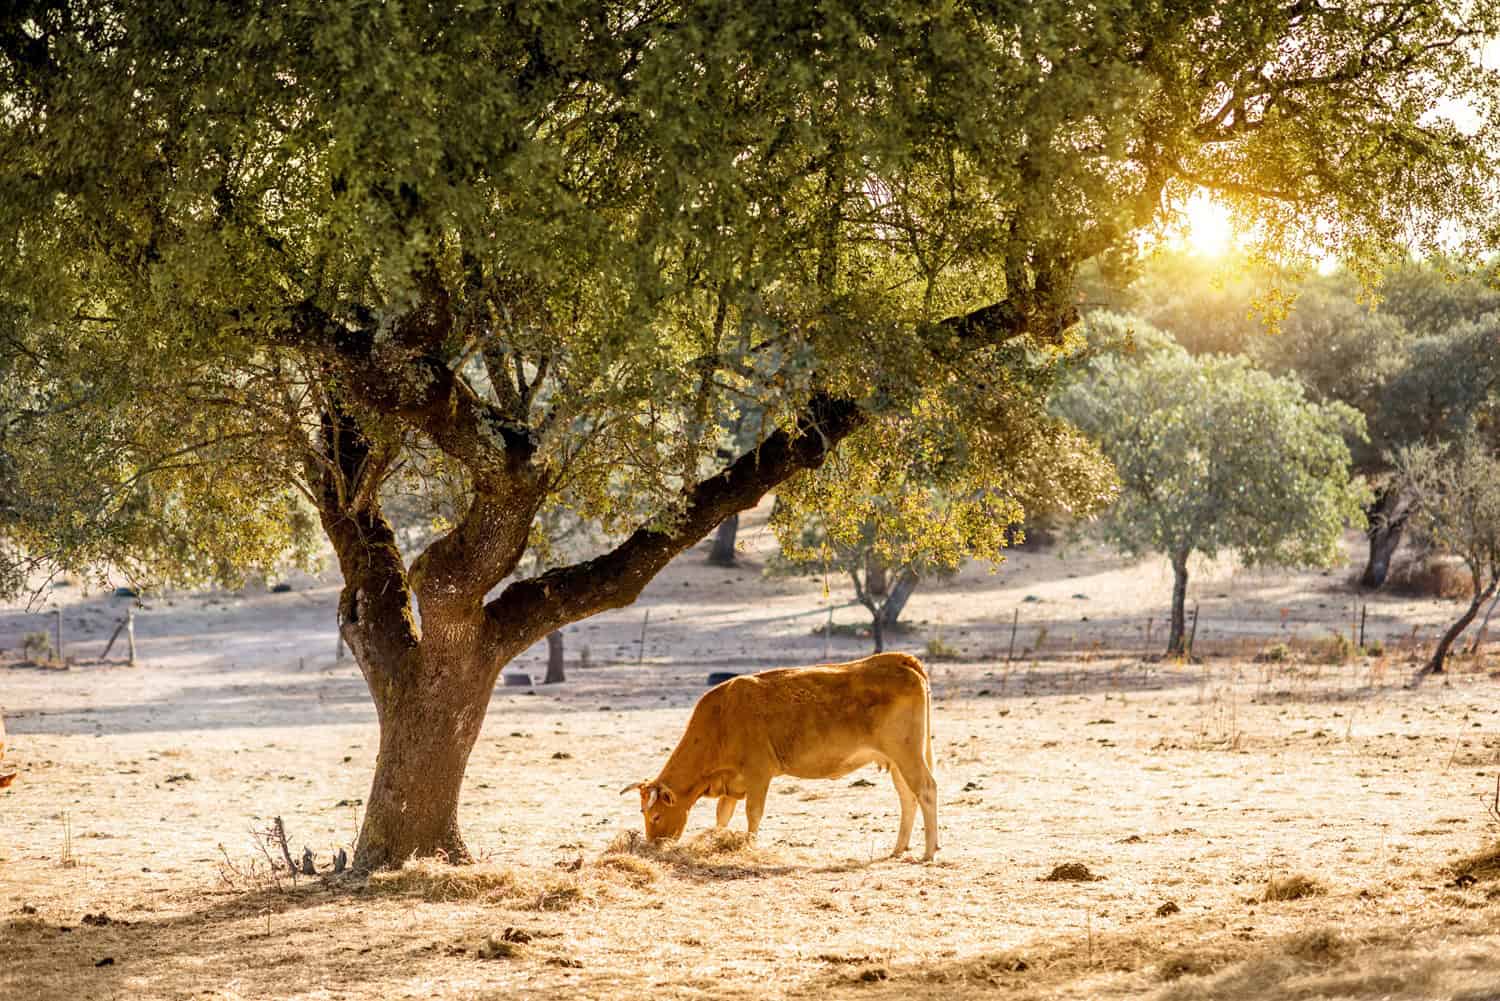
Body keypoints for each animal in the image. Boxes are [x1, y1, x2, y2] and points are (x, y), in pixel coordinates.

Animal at [621, 654, 936, 858]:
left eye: (657, 815)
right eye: (643, 813)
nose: (651, 846)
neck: (722, 718)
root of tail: (900, 660)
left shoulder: (758, 774)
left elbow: (753, 813)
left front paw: (749, 846)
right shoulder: (731, 782)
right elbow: (722, 815)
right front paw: (718, 840)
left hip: (907, 754)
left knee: (926, 790)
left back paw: (929, 852)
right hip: (897, 761)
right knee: (908, 797)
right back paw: (898, 849)